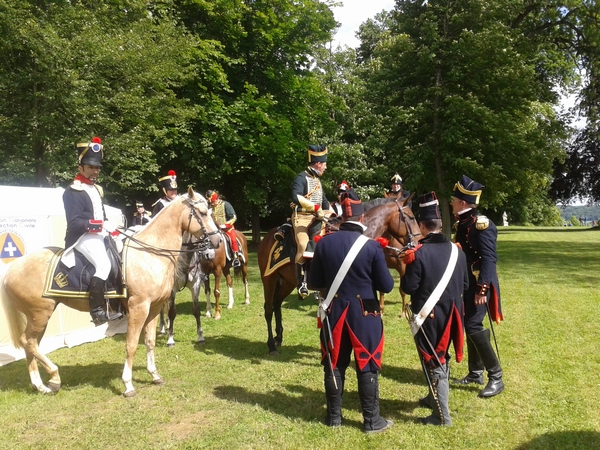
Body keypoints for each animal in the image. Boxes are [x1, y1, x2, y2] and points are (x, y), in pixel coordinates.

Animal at [0, 189, 220, 398]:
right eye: (202, 213)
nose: (216, 242)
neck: (149, 254)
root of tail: (12, 269)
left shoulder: (154, 307)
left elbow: (149, 341)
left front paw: (154, 375)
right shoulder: (139, 307)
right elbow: (132, 344)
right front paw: (128, 384)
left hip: (39, 316)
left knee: (31, 344)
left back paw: (40, 386)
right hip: (40, 314)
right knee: (28, 342)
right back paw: (53, 378)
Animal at [258, 196, 422, 356]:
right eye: (411, 217)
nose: (418, 243)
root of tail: (268, 237)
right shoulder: (329, 290)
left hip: (287, 282)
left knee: (277, 303)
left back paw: (279, 337)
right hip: (269, 279)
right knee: (268, 308)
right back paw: (271, 345)